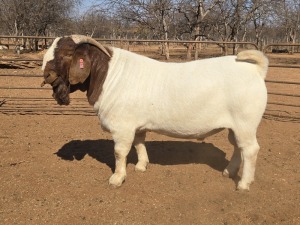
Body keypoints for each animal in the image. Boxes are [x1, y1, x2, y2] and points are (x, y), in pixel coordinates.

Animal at [41, 34, 268, 190]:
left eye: (67, 54)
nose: (46, 74)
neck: (109, 76)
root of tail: (256, 70)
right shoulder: (137, 125)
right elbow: (139, 143)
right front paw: (142, 166)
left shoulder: (123, 127)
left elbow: (120, 152)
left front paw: (117, 178)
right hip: (235, 126)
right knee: (238, 147)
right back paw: (228, 172)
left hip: (246, 123)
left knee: (250, 149)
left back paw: (243, 184)